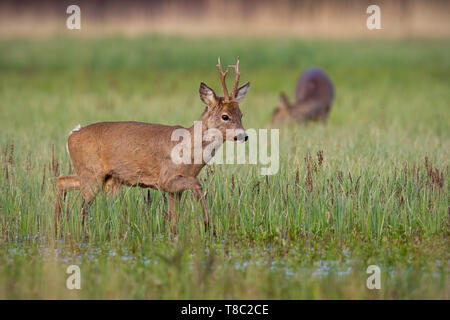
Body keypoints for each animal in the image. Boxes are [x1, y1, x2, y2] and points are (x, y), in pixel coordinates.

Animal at [54, 57, 250, 236]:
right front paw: (209, 226)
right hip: (91, 174)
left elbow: (174, 219)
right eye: (225, 116)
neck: (189, 152)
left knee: (62, 180)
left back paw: (58, 228)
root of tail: (72, 134)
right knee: (82, 206)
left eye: (241, 114)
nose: (244, 135)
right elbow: (198, 185)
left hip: (104, 178)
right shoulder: (166, 178)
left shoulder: (174, 190)